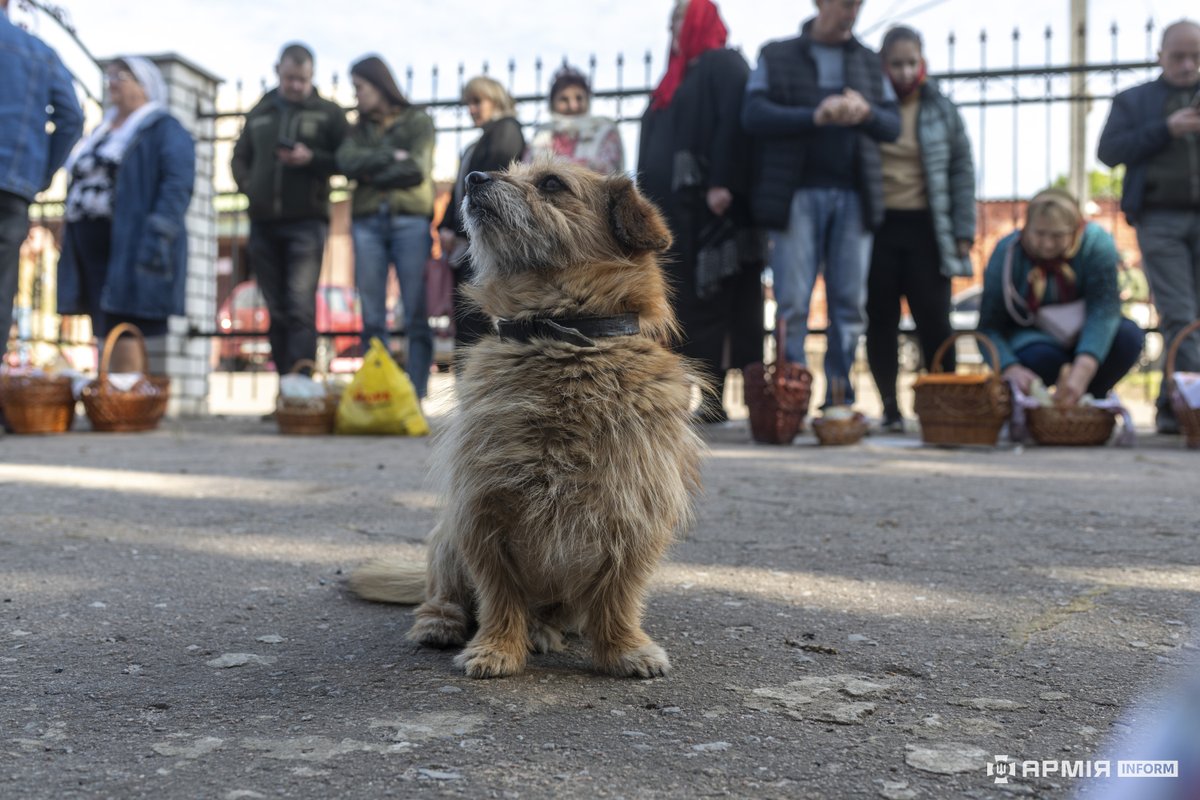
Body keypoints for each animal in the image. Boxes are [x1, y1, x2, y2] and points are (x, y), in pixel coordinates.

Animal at [348, 159, 700, 681]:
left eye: (552, 183)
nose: (473, 177)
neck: (560, 336)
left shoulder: (635, 515)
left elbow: (619, 595)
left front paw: (624, 648)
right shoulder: (482, 511)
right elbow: (500, 594)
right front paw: (496, 647)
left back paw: (545, 630)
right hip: (446, 538)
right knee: (444, 592)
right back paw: (441, 623)